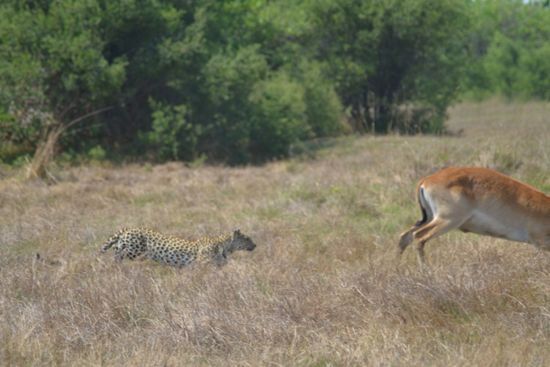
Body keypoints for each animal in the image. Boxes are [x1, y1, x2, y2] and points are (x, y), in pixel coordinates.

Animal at [100, 227, 258, 268]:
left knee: (117, 252)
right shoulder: (202, 263)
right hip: (134, 250)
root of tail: (127, 228)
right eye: (247, 239)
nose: (255, 245)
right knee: (120, 253)